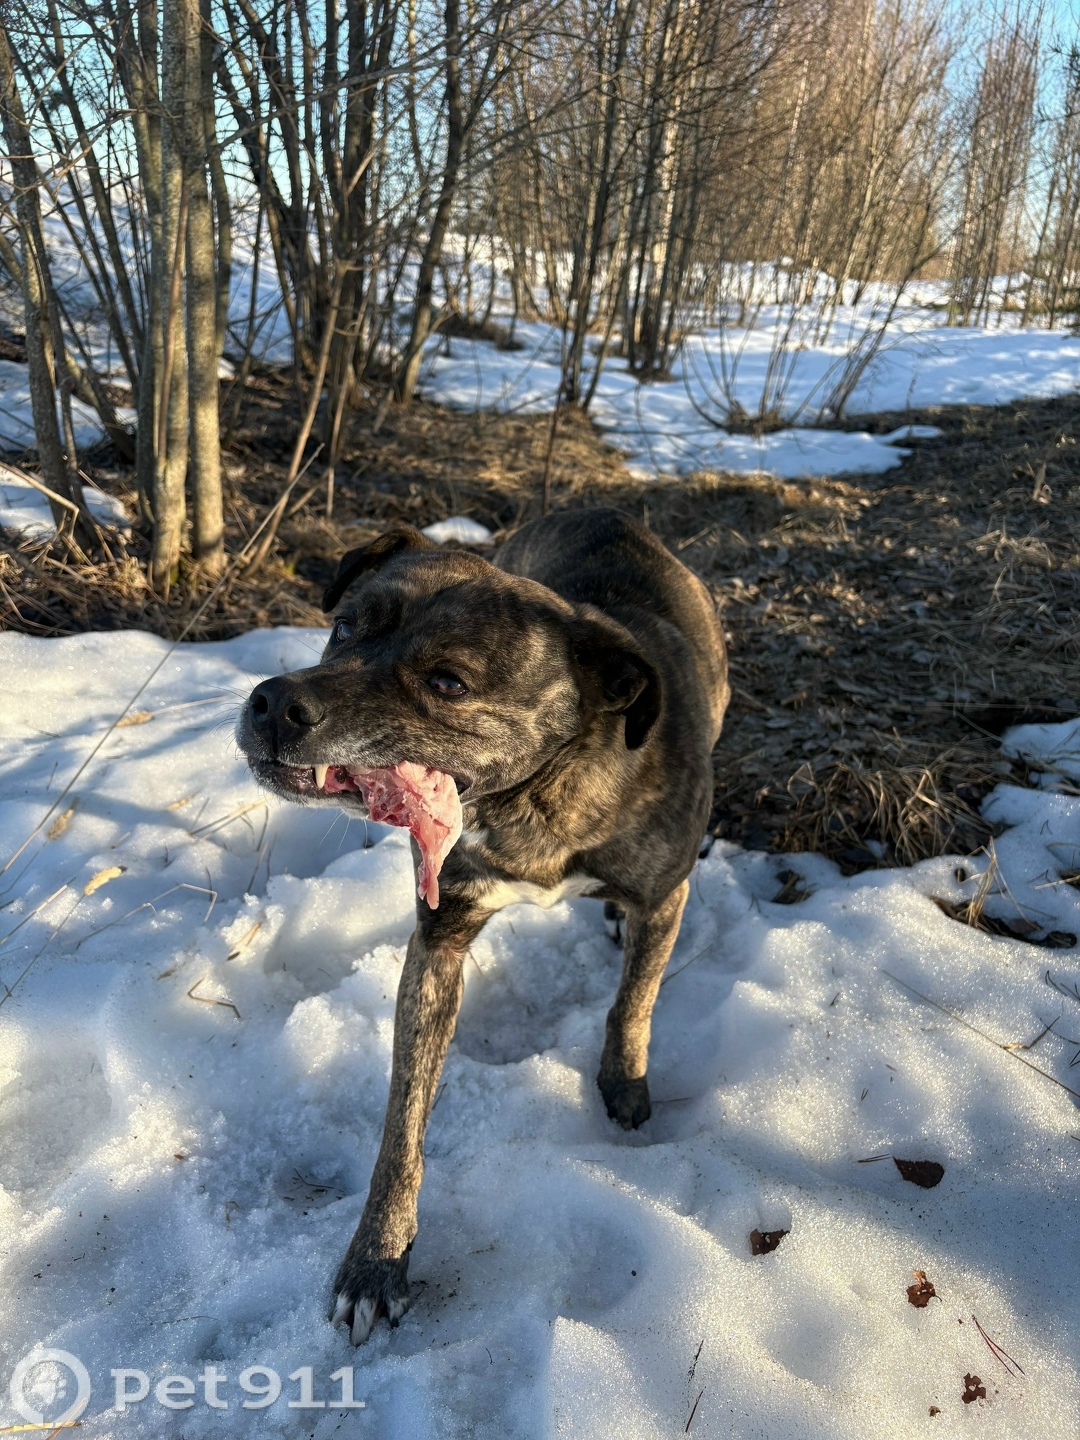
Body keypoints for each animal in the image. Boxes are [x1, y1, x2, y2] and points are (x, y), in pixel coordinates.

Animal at [237, 507, 728, 1343]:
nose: (271, 703)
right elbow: (403, 1125)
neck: (537, 788)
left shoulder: (667, 897)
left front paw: (623, 1082)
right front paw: (377, 1260)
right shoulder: (439, 941)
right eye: (344, 627)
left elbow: (634, 1000)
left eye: (447, 682)